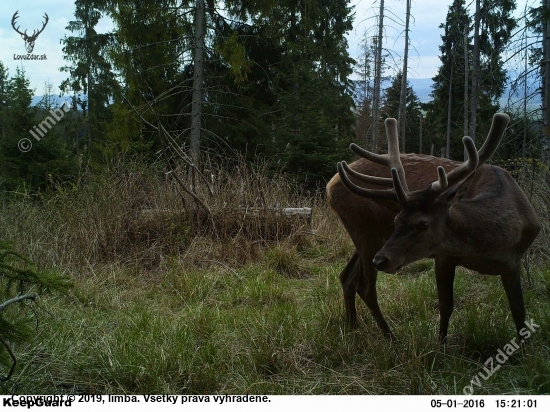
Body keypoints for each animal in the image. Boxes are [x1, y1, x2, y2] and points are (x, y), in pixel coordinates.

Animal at [330, 114, 540, 342]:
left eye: (423, 224)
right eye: (396, 219)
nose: (381, 261)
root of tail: (330, 185)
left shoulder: (513, 262)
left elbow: (519, 310)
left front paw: (524, 347)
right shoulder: (444, 255)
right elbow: (446, 305)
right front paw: (441, 345)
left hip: (372, 238)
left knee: (347, 277)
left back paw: (351, 327)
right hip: (364, 234)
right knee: (366, 288)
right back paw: (390, 338)